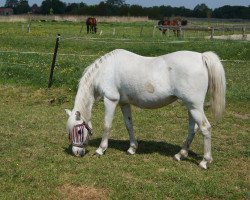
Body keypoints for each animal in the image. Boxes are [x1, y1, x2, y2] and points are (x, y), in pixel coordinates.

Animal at [65, 48, 226, 169]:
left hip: (195, 107)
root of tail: (201, 57)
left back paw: (204, 162)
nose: (77, 152)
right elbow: (129, 125)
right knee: (193, 129)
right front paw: (132, 148)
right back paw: (180, 155)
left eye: (79, 131)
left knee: (205, 128)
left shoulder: (111, 100)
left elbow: (107, 125)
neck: (105, 70)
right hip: (191, 107)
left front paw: (100, 150)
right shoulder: (124, 103)